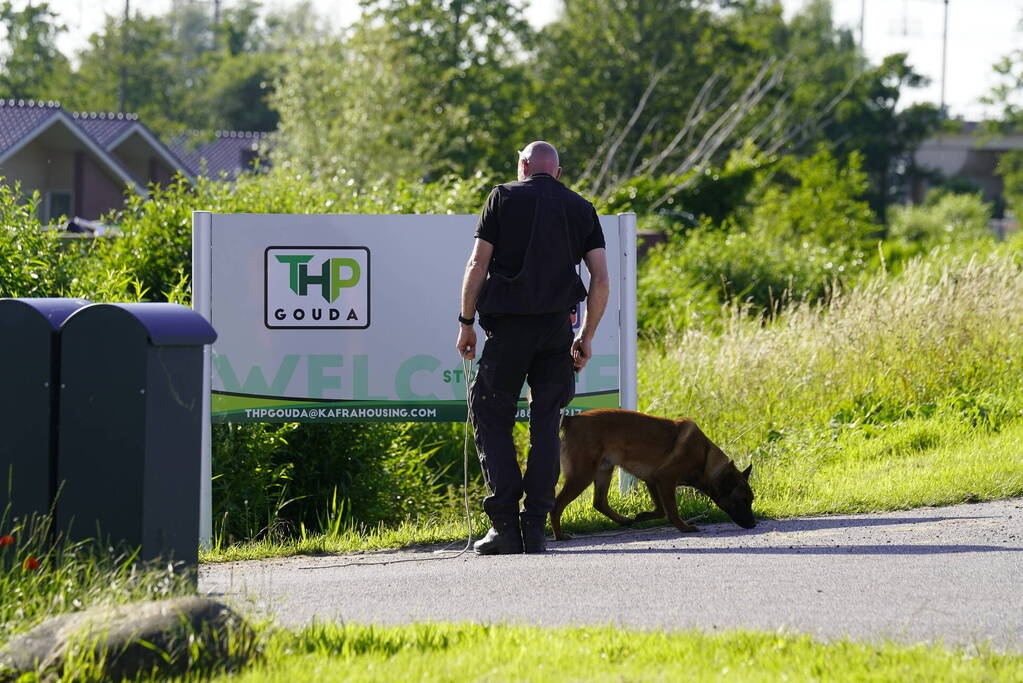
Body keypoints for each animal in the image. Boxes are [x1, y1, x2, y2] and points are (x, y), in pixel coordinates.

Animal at [548, 408, 757, 539]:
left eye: (751, 500)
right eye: (742, 501)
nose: (754, 525)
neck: (705, 459)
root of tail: (572, 419)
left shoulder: (652, 480)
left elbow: (661, 510)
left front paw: (642, 516)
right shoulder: (665, 480)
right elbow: (671, 510)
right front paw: (684, 527)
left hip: (604, 470)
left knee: (599, 502)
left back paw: (623, 520)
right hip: (582, 475)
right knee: (557, 505)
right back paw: (560, 536)